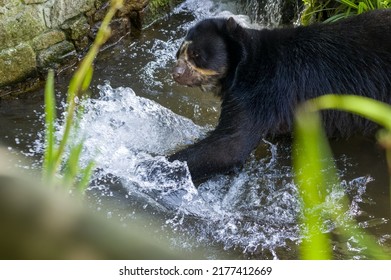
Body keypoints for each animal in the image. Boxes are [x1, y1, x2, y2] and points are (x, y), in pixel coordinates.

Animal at [170, 9, 391, 182]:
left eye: (196, 55)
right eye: (179, 53)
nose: (176, 73)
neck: (242, 65)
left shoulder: (261, 92)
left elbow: (229, 146)